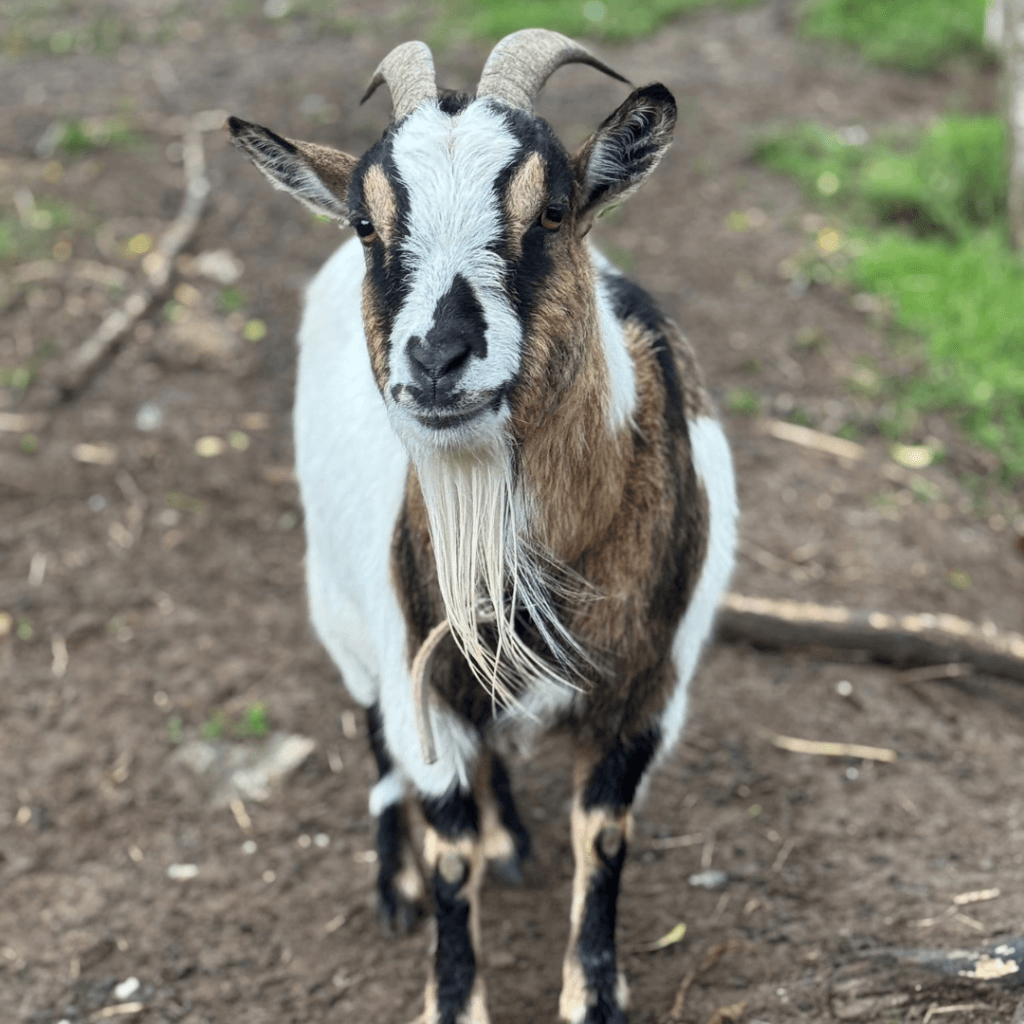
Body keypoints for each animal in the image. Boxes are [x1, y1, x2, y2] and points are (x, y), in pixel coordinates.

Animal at [228, 29, 737, 1024]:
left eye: (555, 212)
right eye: (366, 224)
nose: (436, 356)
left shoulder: (648, 693)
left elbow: (604, 837)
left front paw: (594, 996)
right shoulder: (415, 672)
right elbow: (446, 848)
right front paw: (451, 993)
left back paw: (508, 836)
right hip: (343, 613)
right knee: (376, 740)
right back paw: (394, 882)